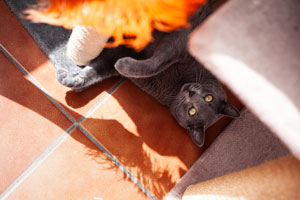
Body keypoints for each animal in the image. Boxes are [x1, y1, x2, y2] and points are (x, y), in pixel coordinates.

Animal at [56, 3, 240, 147]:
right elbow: (157, 62)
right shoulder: (179, 42)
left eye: (192, 111)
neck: (177, 86)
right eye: (209, 97)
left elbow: (96, 72)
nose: (191, 92)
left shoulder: (115, 57)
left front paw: (73, 80)